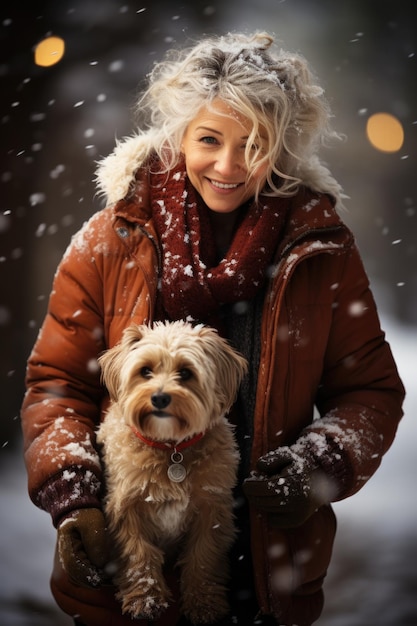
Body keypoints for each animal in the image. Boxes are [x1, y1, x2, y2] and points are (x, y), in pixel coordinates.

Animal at [96, 320, 247, 620]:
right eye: (145, 371)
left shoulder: (212, 509)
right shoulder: (126, 508)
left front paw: (204, 603)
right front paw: (145, 600)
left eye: (185, 373)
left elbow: (203, 556)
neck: (170, 449)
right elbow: (139, 553)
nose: (159, 398)